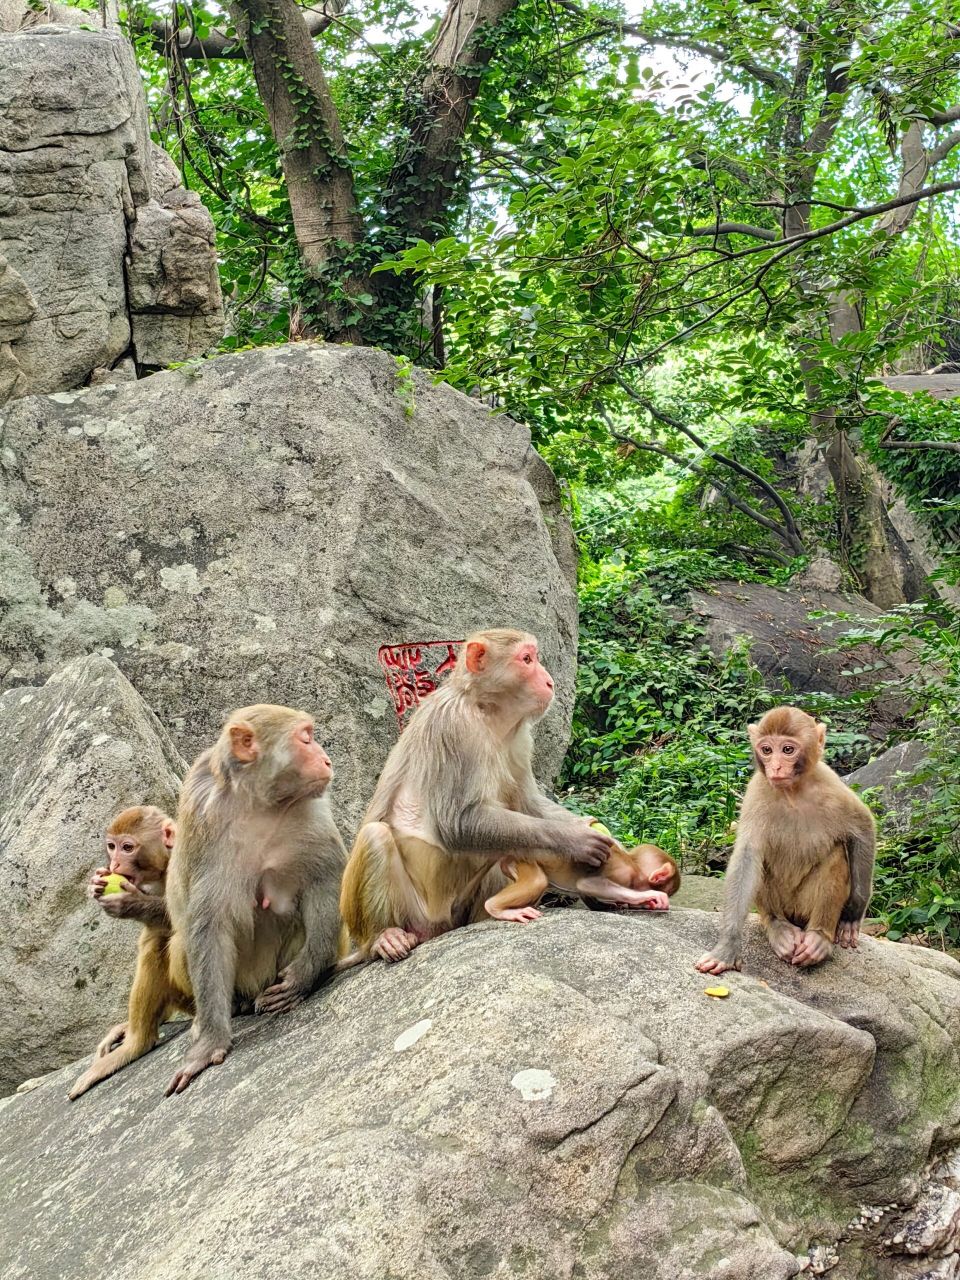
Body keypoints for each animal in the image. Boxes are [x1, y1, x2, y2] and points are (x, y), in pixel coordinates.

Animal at [343, 624, 616, 962]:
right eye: (527, 660)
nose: (549, 681)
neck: (486, 711)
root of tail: (435, 929)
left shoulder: (520, 736)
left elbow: (526, 802)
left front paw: (591, 828)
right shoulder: (453, 727)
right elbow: (459, 823)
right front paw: (577, 840)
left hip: (458, 910)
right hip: (411, 913)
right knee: (376, 836)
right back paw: (385, 937)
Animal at [696, 706, 875, 972]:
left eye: (788, 750)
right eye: (767, 750)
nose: (776, 767)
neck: (793, 792)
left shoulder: (831, 784)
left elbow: (863, 829)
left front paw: (852, 914)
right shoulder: (756, 792)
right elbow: (747, 858)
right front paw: (727, 948)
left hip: (803, 906)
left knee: (836, 856)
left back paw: (819, 937)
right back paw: (778, 927)